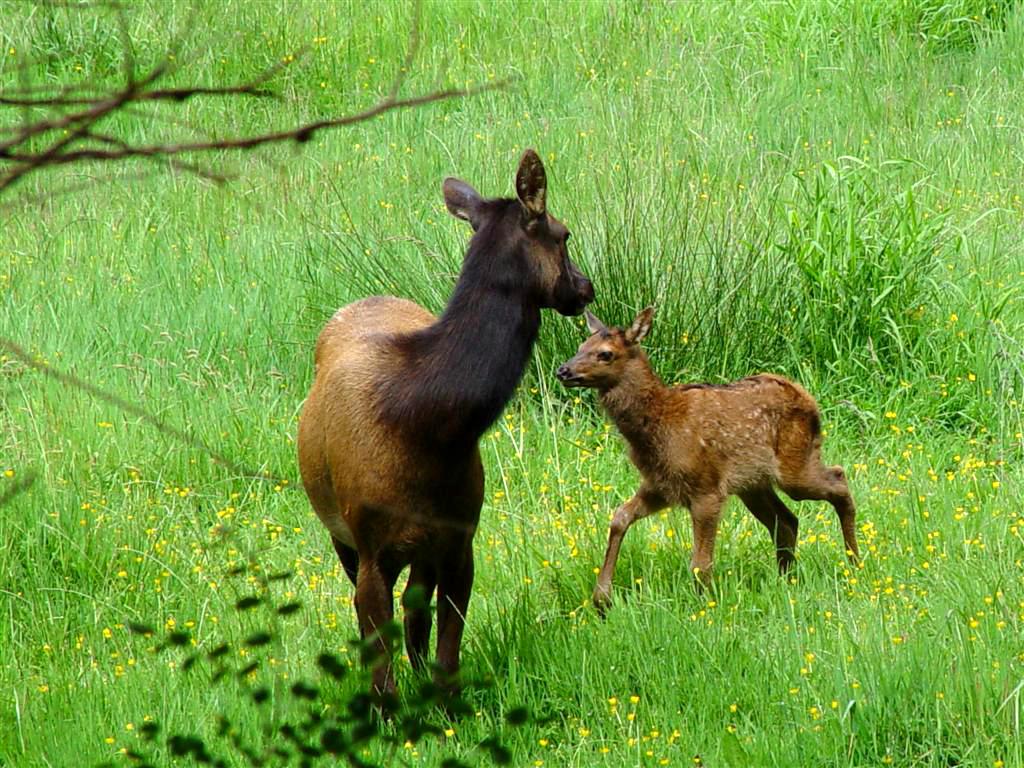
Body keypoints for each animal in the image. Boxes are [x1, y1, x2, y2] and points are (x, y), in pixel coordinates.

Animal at [297, 149, 594, 701]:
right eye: (563, 233)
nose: (585, 287)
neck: (427, 428)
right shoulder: (369, 545)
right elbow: (380, 666)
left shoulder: (461, 537)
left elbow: (447, 656)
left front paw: (443, 704)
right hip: (341, 533)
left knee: (417, 610)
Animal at [555, 307, 859, 614]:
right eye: (581, 346)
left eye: (605, 354)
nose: (563, 370)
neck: (658, 426)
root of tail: (810, 401)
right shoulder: (660, 485)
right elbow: (619, 517)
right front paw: (602, 599)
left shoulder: (706, 489)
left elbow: (700, 563)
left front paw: (704, 607)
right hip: (753, 485)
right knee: (787, 521)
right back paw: (787, 578)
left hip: (794, 466)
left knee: (838, 478)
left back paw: (853, 563)